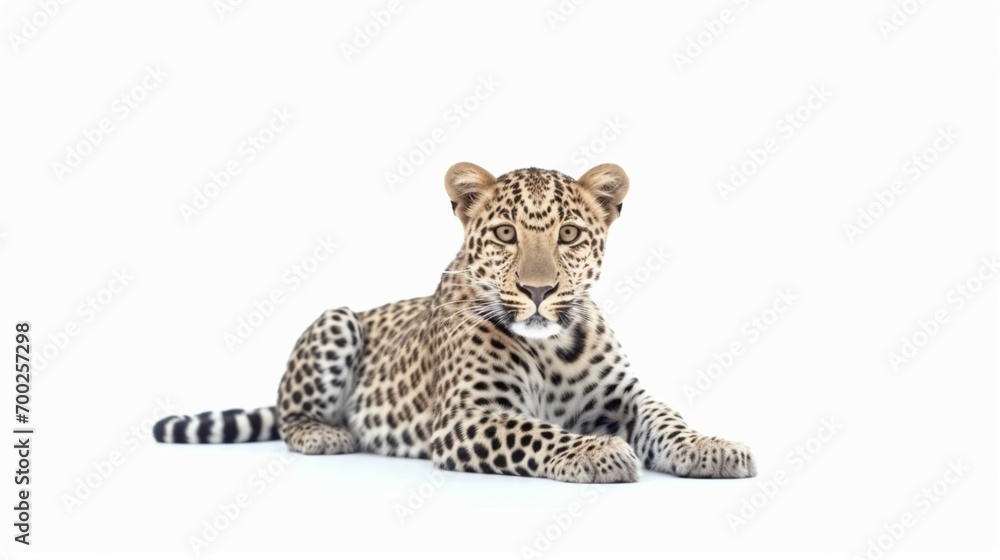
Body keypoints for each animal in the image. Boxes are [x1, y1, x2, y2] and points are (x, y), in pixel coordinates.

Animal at [153, 162, 757, 483]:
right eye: (506, 234)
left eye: (568, 234)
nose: (539, 291)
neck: (554, 348)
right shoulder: (468, 416)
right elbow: (537, 431)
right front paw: (596, 451)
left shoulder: (625, 397)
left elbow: (667, 418)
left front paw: (713, 446)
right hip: (336, 319)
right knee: (289, 418)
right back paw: (327, 433)